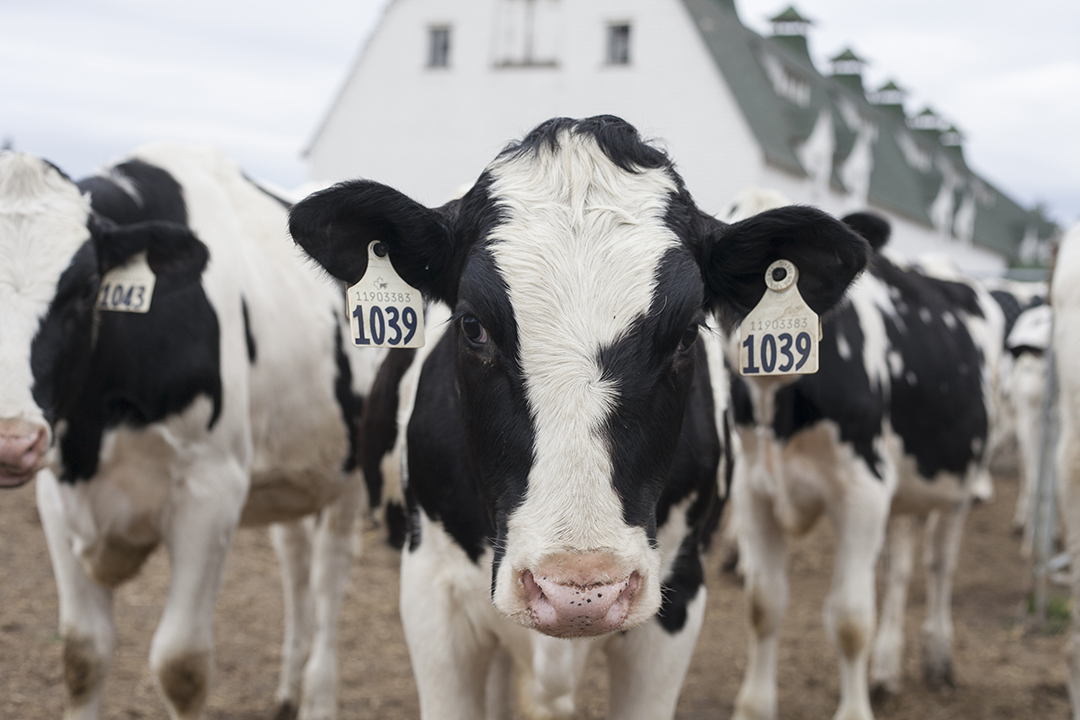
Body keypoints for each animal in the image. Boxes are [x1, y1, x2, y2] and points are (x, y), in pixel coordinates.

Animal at [0, 144, 380, 720]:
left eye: (86, 290)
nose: (11, 439)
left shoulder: (212, 492)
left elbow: (180, 664)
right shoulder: (56, 493)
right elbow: (82, 654)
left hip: (352, 472)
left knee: (329, 577)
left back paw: (317, 696)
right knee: (295, 564)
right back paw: (288, 691)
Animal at [724, 207, 1005, 720]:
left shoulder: (863, 491)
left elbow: (851, 619)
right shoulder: (753, 490)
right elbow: (763, 605)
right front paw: (755, 706)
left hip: (961, 481)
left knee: (940, 566)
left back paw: (939, 659)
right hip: (901, 495)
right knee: (899, 571)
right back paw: (887, 668)